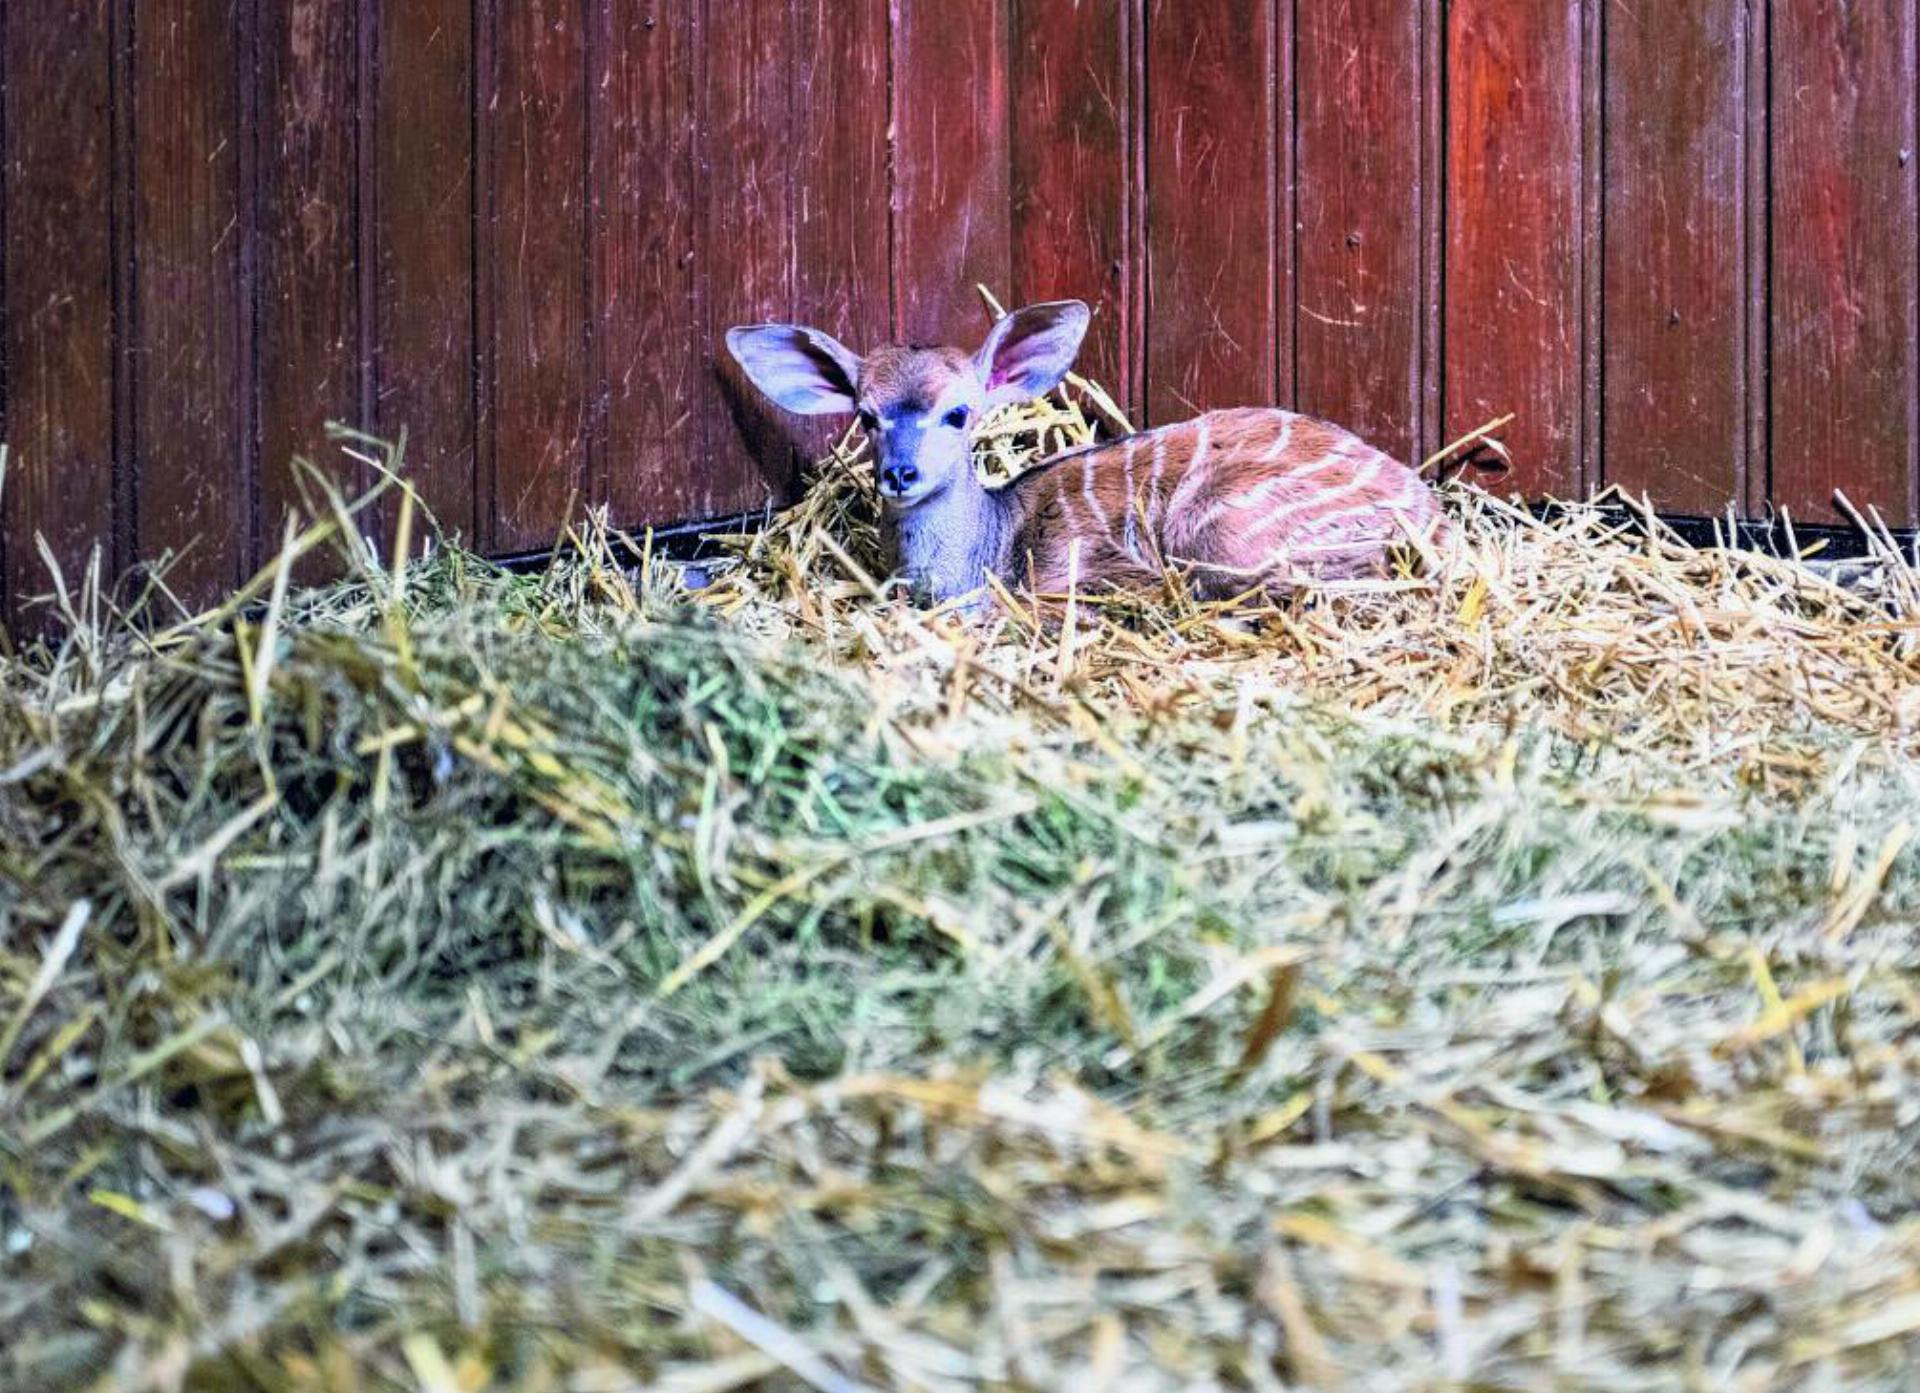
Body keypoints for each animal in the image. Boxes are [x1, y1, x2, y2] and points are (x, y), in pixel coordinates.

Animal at [725, 297, 1443, 610]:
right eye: (867, 416)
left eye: (959, 413)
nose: (900, 473)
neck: (990, 549)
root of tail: (1431, 517)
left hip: (1222, 529)